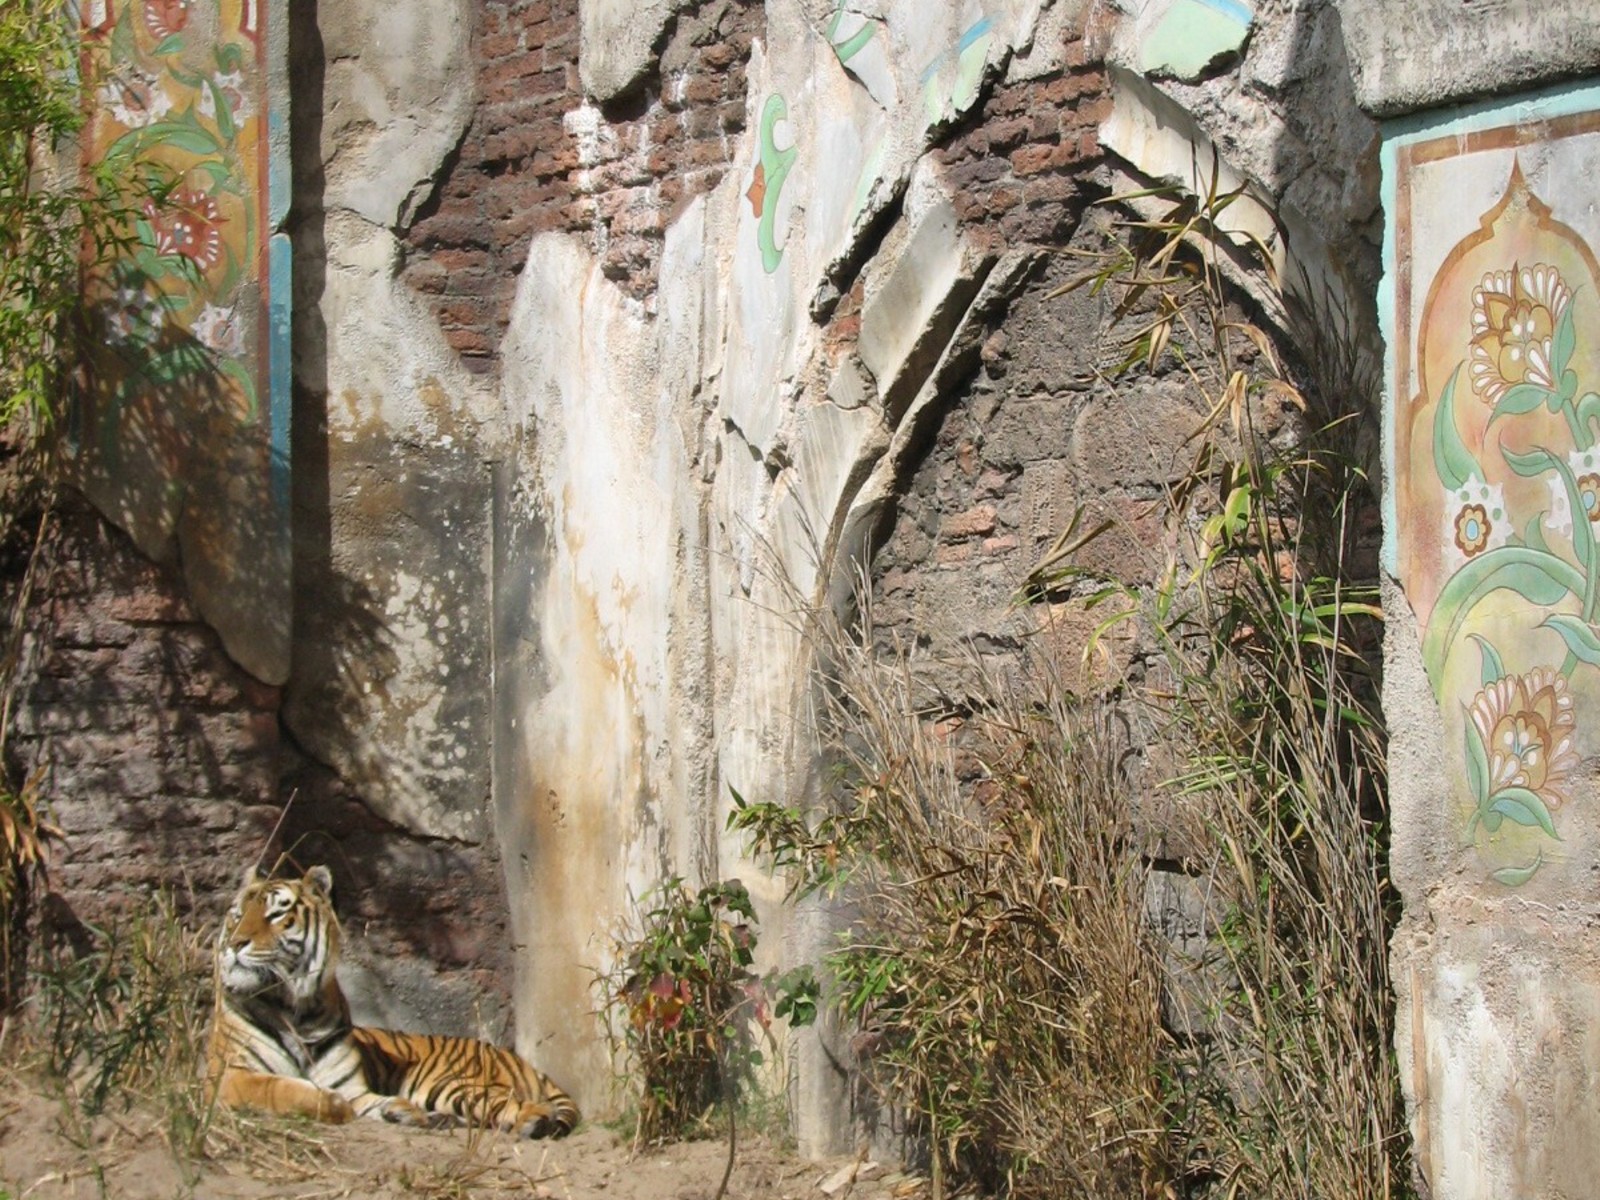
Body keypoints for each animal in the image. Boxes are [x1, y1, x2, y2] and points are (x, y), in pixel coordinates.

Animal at [207, 864, 579, 1138]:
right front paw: (361, 1107)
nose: (234, 943)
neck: (296, 1009)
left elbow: (304, 1092)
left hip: (452, 1083)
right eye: (236, 915)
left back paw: (534, 1119)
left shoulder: (350, 1087)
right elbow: (280, 1087)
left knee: (504, 1103)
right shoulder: (228, 1075)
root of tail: (519, 1059)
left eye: (274, 915)